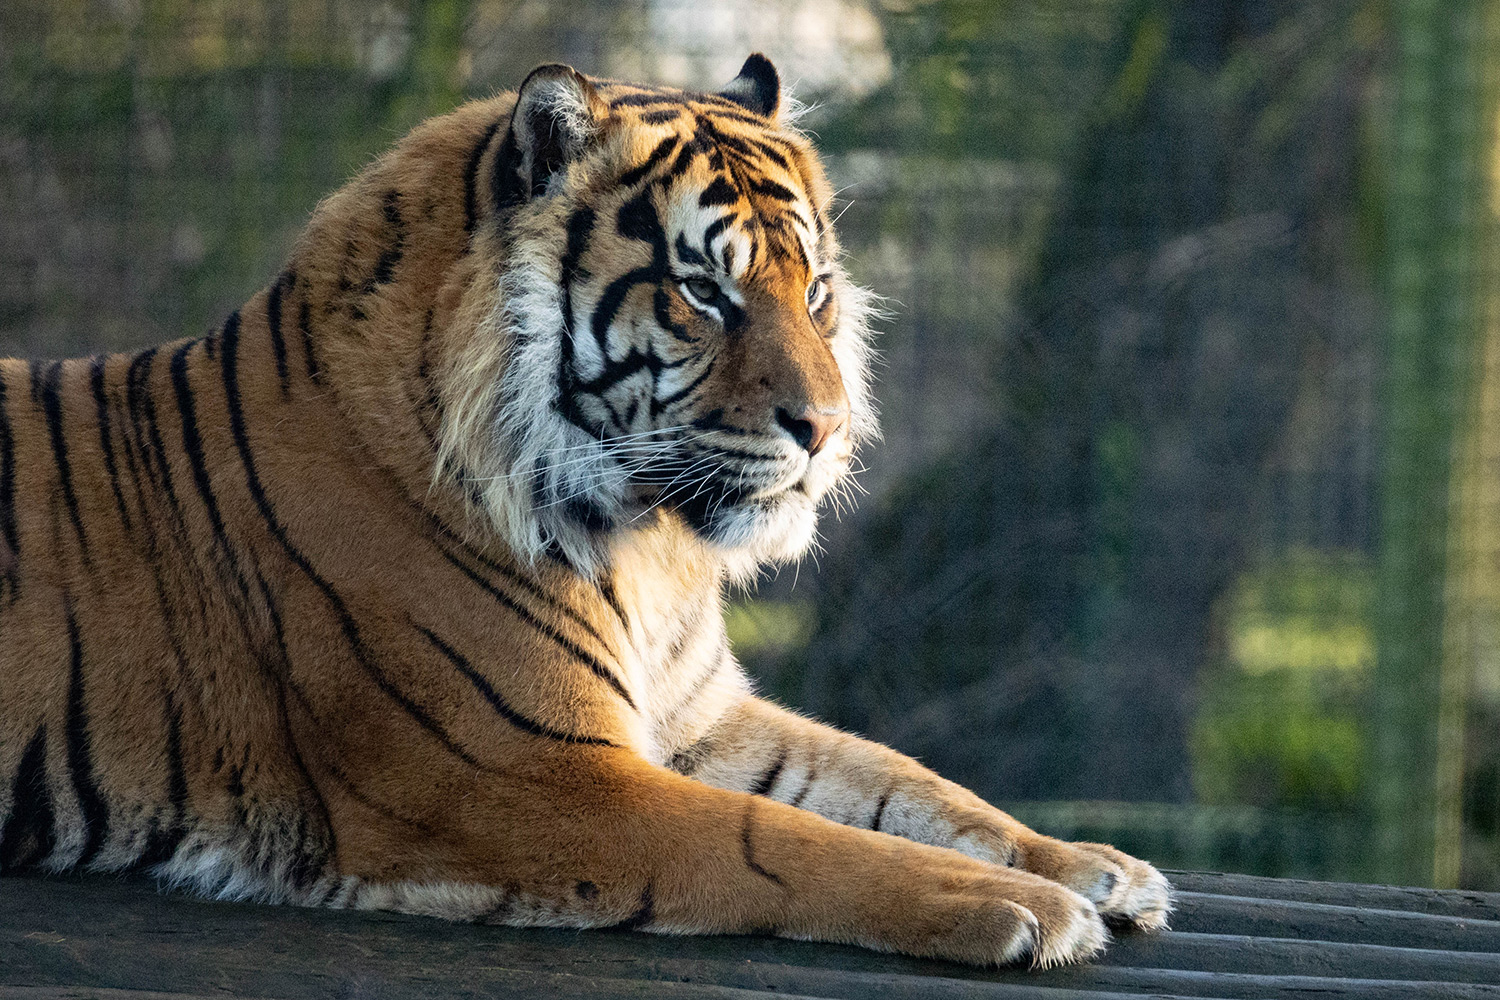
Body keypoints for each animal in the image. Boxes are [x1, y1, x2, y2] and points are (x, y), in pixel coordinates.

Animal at [0, 54, 1169, 967]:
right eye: (703, 293)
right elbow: (791, 844)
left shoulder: (696, 718)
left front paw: (1091, 867)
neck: (649, 548)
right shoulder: (532, 775)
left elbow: (898, 782)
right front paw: (1025, 905)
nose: (829, 430)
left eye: (816, 290)